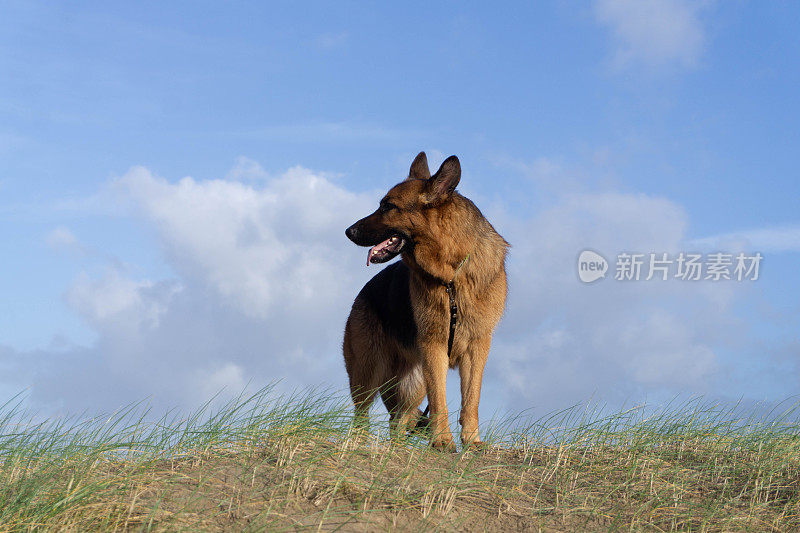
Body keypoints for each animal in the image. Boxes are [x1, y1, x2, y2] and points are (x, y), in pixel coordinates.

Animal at [342, 151, 506, 448]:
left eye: (388, 207)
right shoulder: (434, 347)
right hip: (369, 374)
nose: (349, 231)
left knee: (398, 421)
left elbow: (471, 399)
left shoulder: (478, 347)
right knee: (362, 416)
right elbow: (440, 400)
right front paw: (443, 442)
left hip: (412, 384)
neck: (452, 274)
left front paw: (472, 442)